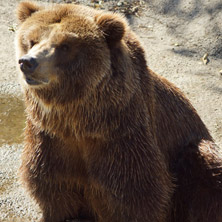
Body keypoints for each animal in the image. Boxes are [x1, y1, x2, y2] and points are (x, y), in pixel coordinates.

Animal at [15, 1, 222, 222]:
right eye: (32, 40)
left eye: (65, 45)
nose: (28, 62)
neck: (78, 121)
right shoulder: (49, 138)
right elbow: (52, 187)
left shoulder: (121, 138)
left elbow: (137, 195)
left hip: (190, 155)